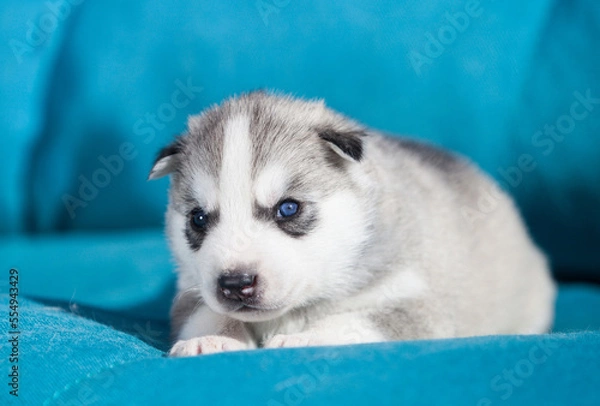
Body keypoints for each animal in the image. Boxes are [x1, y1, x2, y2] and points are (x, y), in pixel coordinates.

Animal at [149, 92, 552, 356]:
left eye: (288, 209)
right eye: (199, 218)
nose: (235, 283)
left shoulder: (415, 300)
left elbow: (354, 320)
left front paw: (305, 338)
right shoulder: (191, 290)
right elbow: (206, 314)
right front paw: (212, 339)